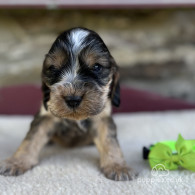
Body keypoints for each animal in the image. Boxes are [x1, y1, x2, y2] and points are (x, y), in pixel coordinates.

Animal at [0, 27, 136, 181]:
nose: (73, 99)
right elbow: (31, 139)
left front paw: (118, 166)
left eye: (96, 67)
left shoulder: (102, 118)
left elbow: (110, 141)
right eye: (53, 68)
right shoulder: (45, 117)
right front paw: (16, 162)